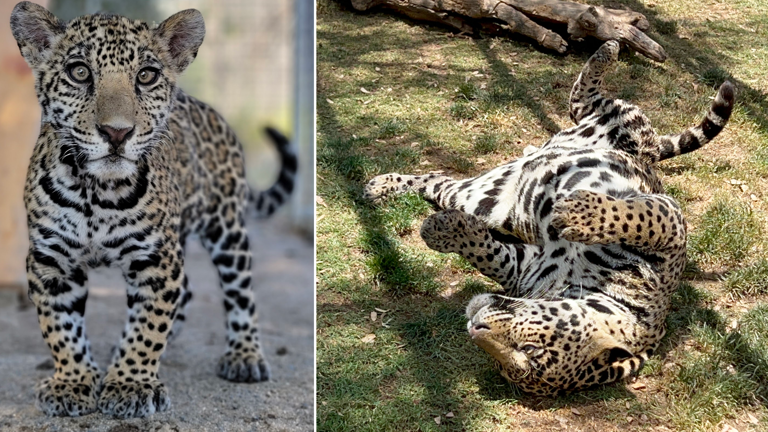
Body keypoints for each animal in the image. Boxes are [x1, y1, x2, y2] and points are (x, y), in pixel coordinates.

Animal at [10, 2, 297, 418]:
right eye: (79, 72)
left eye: (146, 76)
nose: (116, 133)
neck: (96, 192)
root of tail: (211, 112)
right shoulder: (51, 260)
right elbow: (60, 328)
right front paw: (74, 381)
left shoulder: (157, 258)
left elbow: (149, 325)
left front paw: (130, 385)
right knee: (188, 292)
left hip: (227, 229)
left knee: (240, 292)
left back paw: (244, 356)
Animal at [365, 40, 734, 395]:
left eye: (527, 355)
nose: (474, 327)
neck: (586, 286)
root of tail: (650, 155)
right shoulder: (672, 230)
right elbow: (640, 216)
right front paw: (581, 213)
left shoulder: (523, 267)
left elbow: (491, 254)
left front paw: (443, 230)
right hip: (621, 125)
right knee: (588, 100)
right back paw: (608, 49)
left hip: (479, 195)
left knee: (435, 181)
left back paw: (394, 194)